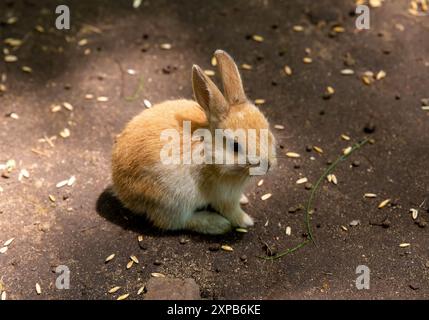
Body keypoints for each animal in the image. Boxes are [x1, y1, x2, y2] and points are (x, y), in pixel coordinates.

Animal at [110, 50, 276, 235]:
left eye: (267, 131)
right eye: (235, 146)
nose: (268, 165)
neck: (210, 154)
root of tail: (121, 191)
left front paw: (244, 200)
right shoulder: (224, 196)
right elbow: (231, 211)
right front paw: (246, 221)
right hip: (173, 201)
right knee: (175, 222)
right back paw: (217, 224)